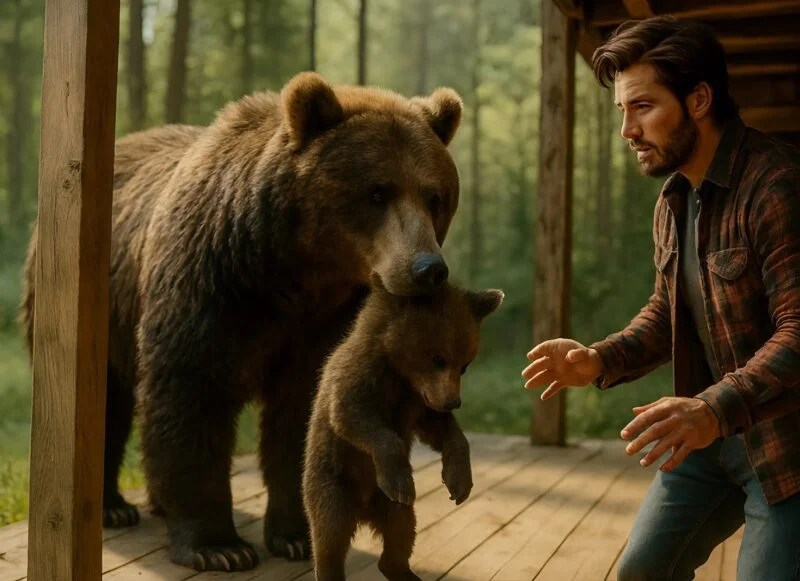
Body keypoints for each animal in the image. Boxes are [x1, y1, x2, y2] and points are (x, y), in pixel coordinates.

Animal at [19, 71, 464, 572]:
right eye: (377, 192)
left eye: (434, 195)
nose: (427, 268)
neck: (292, 272)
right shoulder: (210, 285)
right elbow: (191, 394)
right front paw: (219, 546)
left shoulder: (324, 321)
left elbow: (301, 411)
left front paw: (296, 535)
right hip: (103, 303)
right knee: (106, 400)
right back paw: (114, 506)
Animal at [303, 277, 503, 581]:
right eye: (438, 358)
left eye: (465, 365)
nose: (453, 402)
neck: (401, 375)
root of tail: (363, 513)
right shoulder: (359, 377)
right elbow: (353, 416)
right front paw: (398, 481)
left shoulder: (419, 403)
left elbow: (442, 432)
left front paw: (459, 482)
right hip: (332, 483)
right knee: (329, 535)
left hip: (393, 508)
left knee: (401, 532)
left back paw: (403, 570)